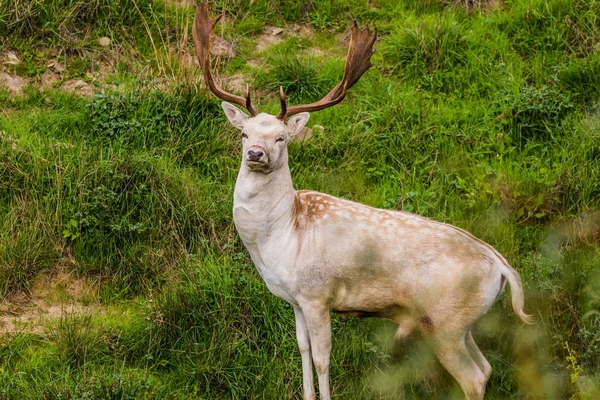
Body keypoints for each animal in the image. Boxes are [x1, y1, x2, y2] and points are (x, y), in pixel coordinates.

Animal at [191, 2, 528, 396]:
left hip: (445, 321)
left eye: (281, 138)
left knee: (473, 376)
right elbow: (302, 350)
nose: (256, 153)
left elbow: (322, 359)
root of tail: (502, 267)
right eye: (244, 133)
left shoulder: (317, 294)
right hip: (461, 324)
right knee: (486, 367)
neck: (280, 238)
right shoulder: (295, 299)